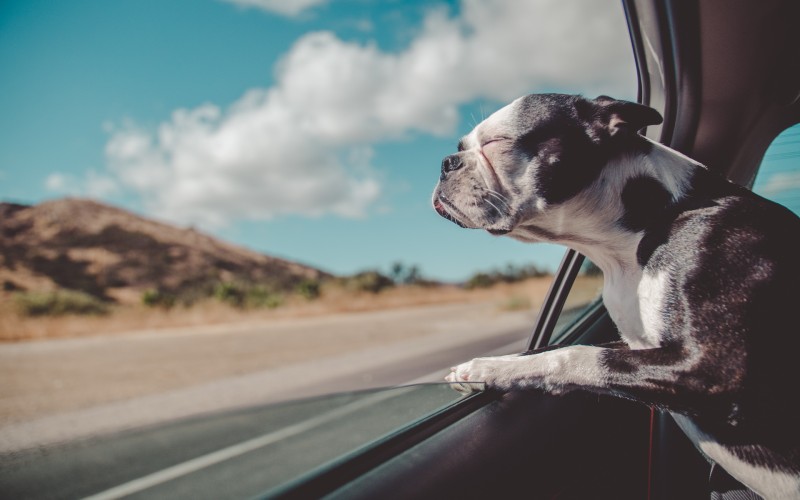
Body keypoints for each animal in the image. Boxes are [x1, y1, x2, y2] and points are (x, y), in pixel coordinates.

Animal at [438, 94, 800, 500]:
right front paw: (486, 367)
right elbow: (546, 349)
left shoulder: (712, 370)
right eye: (461, 147)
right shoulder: (636, 345)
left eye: (496, 143)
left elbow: (573, 356)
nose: (446, 162)